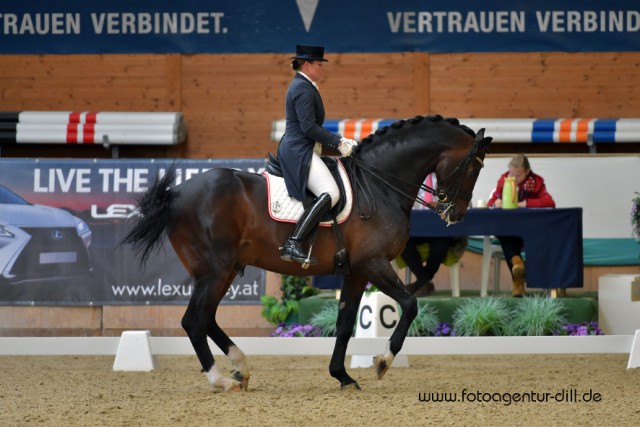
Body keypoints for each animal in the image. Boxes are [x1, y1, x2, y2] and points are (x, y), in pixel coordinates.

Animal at [122, 115, 492, 392]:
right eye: (474, 169)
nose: (455, 215)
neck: (379, 185)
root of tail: (176, 194)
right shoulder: (374, 264)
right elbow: (411, 304)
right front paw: (383, 361)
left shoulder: (356, 271)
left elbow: (345, 323)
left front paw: (342, 376)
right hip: (214, 270)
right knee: (194, 320)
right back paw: (221, 379)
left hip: (222, 271)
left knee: (207, 318)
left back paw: (241, 367)